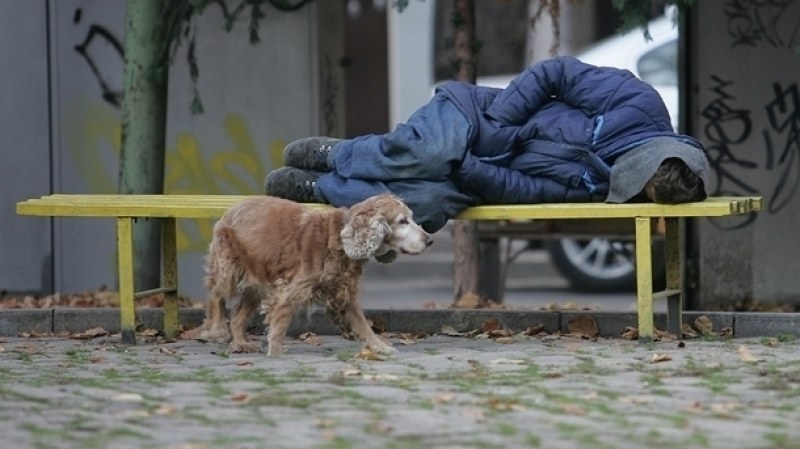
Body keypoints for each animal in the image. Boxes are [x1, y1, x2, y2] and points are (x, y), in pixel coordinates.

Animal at [196, 194, 432, 356]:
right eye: (403, 221)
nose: (430, 240)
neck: (337, 238)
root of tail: (232, 208)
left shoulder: (342, 292)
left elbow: (363, 324)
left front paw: (381, 347)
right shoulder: (292, 289)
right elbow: (280, 322)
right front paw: (276, 353)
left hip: (256, 283)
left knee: (236, 318)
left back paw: (240, 344)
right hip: (229, 270)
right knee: (215, 295)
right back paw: (217, 330)